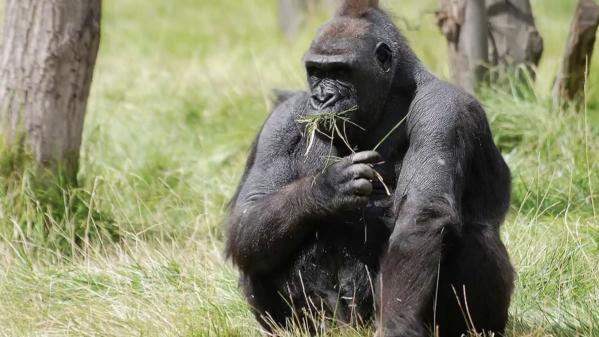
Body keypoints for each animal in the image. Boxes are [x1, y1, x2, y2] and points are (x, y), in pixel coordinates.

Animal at [225, 1, 516, 334]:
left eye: (340, 72)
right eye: (316, 72)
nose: (322, 98)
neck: (393, 93)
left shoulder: (444, 108)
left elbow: (421, 216)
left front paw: (397, 327)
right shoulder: (281, 120)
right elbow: (248, 213)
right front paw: (324, 189)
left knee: (473, 235)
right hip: (331, 323)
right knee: (257, 251)